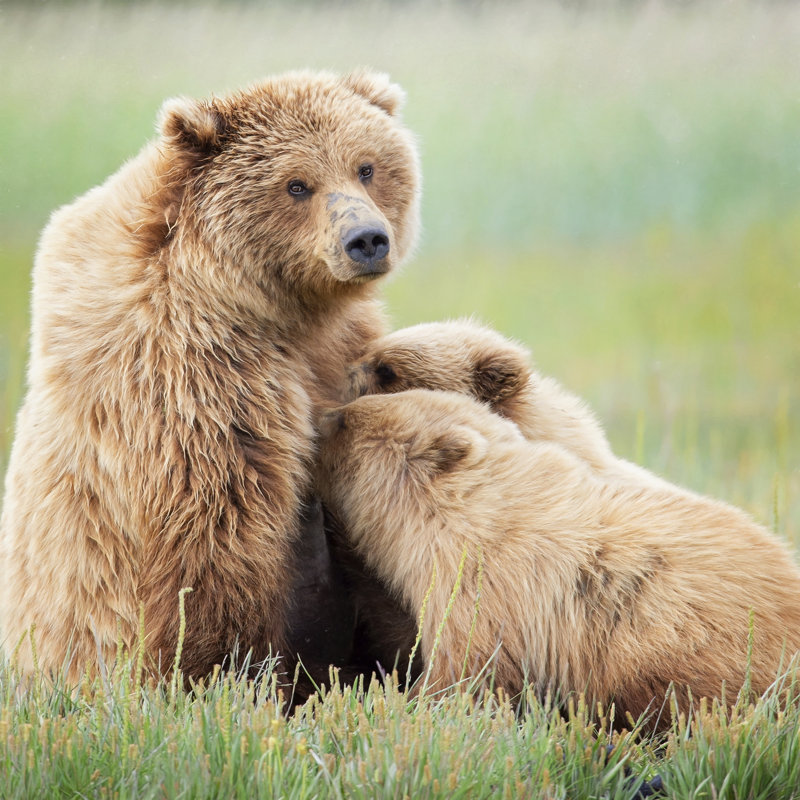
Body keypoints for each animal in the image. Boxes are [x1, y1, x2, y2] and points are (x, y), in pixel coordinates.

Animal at [0, 69, 420, 683]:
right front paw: (229, 669)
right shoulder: (192, 371)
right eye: (297, 184)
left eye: (366, 167)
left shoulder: (340, 344)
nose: (366, 240)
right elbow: (216, 525)